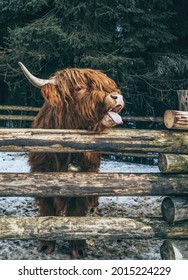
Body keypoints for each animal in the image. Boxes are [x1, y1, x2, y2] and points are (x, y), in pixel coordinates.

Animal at [18, 61, 125, 258]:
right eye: (79, 87)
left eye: (107, 85)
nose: (117, 97)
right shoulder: (42, 172)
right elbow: (48, 208)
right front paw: (46, 245)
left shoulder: (86, 176)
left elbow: (77, 210)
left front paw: (78, 247)